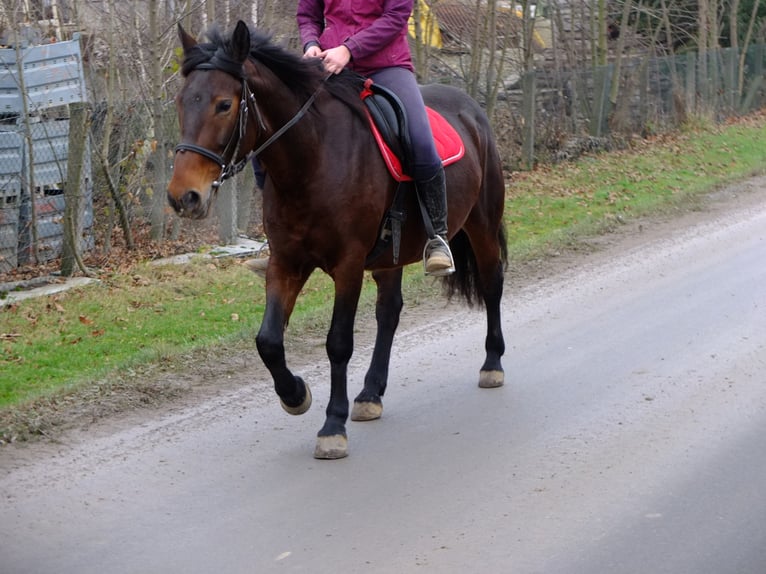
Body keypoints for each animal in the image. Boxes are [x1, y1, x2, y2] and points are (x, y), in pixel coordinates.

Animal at [166, 22, 510, 462]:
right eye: (182, 101)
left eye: (224, 104)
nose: (184, 197)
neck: (312, 159)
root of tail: (471, 108)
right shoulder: (286, 262)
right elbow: (268, 341)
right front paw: (295, 395)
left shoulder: (348, 265)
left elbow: (338, 343)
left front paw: (332, 426)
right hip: (390, 256)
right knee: (389, 312)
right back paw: (370, 394)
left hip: (481, 225)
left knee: (491, 284)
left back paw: (492, 364)